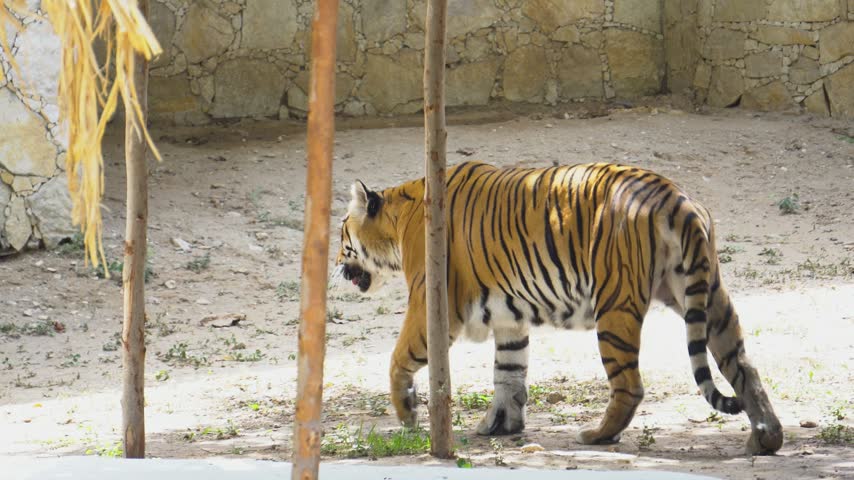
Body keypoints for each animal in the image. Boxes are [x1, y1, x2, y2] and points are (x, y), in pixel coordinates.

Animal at [335, 161, 783, 455]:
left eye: (341, 234)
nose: (337, 266)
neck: (401, 218)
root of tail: (676, 198)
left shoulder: (432, 301)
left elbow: (398, 358)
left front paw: (407, 413)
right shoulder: (508, 315)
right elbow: (509, 370)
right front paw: (501, 424)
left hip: (615, 306)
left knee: (630, 384)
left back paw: (597, 436)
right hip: (706, 295)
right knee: (744, 367)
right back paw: (765, 438)